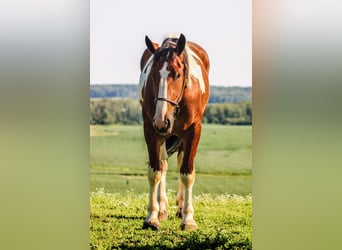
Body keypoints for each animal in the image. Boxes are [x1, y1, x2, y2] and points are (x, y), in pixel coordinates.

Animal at [138, 33, 208, 230]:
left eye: (177, 74)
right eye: (152, 75)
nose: (162, 120)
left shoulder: (193, 132)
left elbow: (187, 173)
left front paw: (188, 218)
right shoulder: (151, 130)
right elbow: (155, 171)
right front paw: (152, 216)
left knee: (180, 163)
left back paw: (180, 207)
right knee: (163, 164)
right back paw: (162, 208)